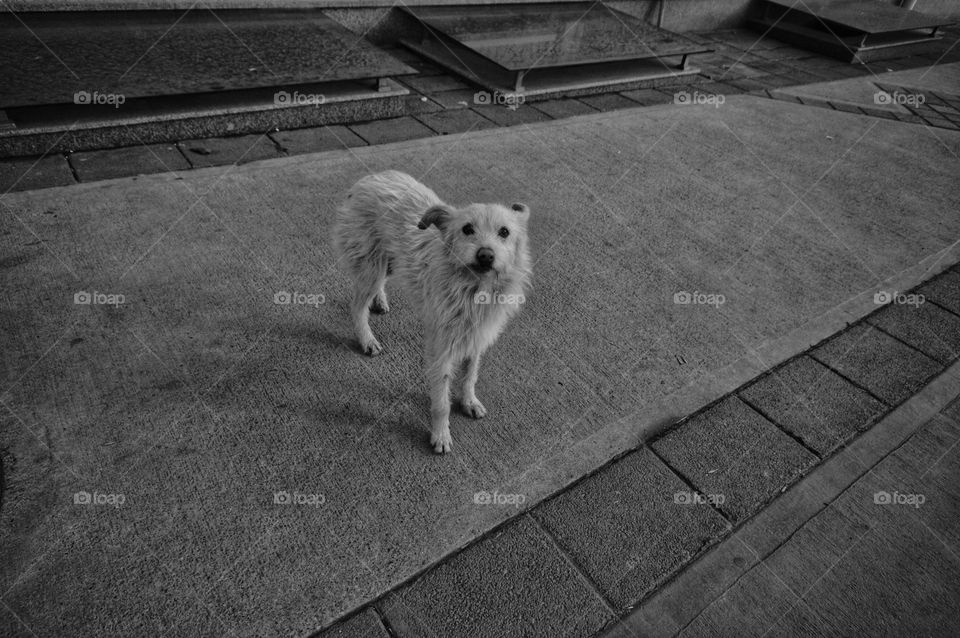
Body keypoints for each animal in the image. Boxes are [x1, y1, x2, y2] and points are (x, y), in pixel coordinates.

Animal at [336, 172, 532, 456]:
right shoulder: (441, 347)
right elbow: (441, 401)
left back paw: (379, 299)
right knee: (356, 306)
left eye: (504, 232)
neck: (473, 288)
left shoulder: (477, 336)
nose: (486, 255)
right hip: (370, 263)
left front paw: (468, 400)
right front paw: (441, 434)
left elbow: (470, 374)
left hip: (388, 260)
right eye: (467, 229)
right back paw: (366, 338)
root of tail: (369, 178)